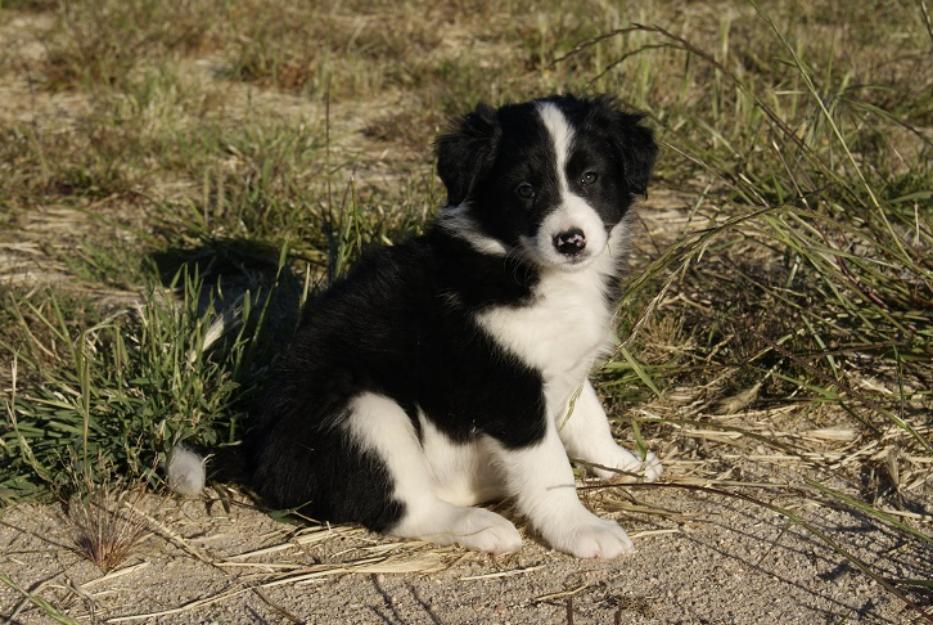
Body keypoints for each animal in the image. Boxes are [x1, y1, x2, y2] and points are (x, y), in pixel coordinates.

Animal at [177, 94, 656, 556]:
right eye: (525, 190)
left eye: (590, 178)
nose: (570, 240)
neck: (523, 269)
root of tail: (256, 455)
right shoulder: (507, 392)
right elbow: (549, 467)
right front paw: (580, 529)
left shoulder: (568, 363)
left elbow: (591, 420)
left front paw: (626, 462)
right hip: (366, 412)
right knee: (399, 506)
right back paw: (480, 526)